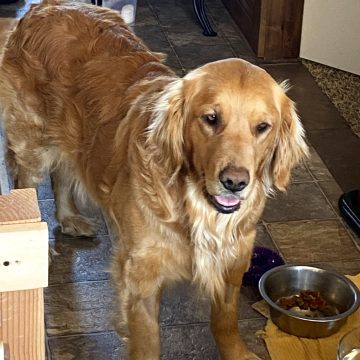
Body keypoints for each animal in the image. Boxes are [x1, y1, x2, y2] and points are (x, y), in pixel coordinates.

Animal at [0, 1, 306, 358]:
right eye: (210, 118)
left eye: (263, 127)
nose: (234, 182)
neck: (195, 206)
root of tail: (46, 6)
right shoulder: (141, 273)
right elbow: (148, 340)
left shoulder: (233, 259)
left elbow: (226, 322)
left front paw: (239, 353)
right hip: (34, 144)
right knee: (27, 182)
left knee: (63, 173)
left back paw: (69, 218)